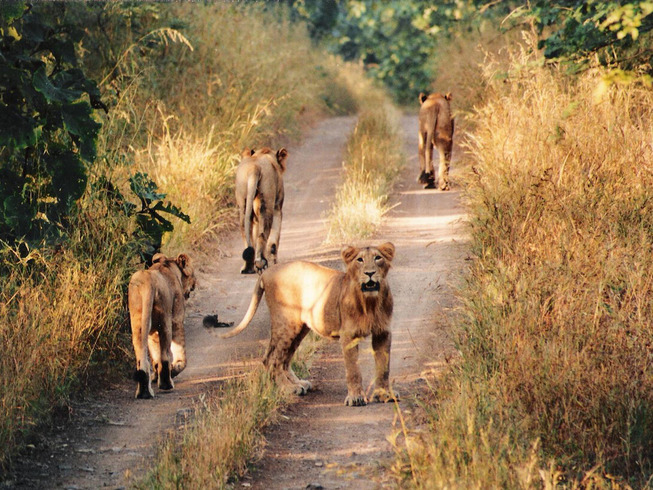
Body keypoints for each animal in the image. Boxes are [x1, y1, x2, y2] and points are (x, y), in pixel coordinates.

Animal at [128, 253, 196, 399]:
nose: (195, 283)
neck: (168, 265)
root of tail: (146, 282)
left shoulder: (152, 332)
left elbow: (155, 355)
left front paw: (155, 376)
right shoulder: (177, 319)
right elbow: (180, 352)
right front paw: (175, 369)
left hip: (138, 321)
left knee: (142, 358)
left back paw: (144, 392)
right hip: (165, 320)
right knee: (165, 355)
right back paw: (166, 384)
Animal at [216, 242, 397, 406]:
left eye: (378, 258)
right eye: (359, 260)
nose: (370, 273)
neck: (370, 302)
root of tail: (266, 272)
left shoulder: (383, 332)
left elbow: (384, 367)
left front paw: (385, 395)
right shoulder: (348, 335)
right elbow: (353, 369)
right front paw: (356, 398)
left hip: (299, 328)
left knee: (283, 359)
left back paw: (297, 384)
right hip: (286, 324)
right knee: (271, 359)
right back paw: (288, 388)